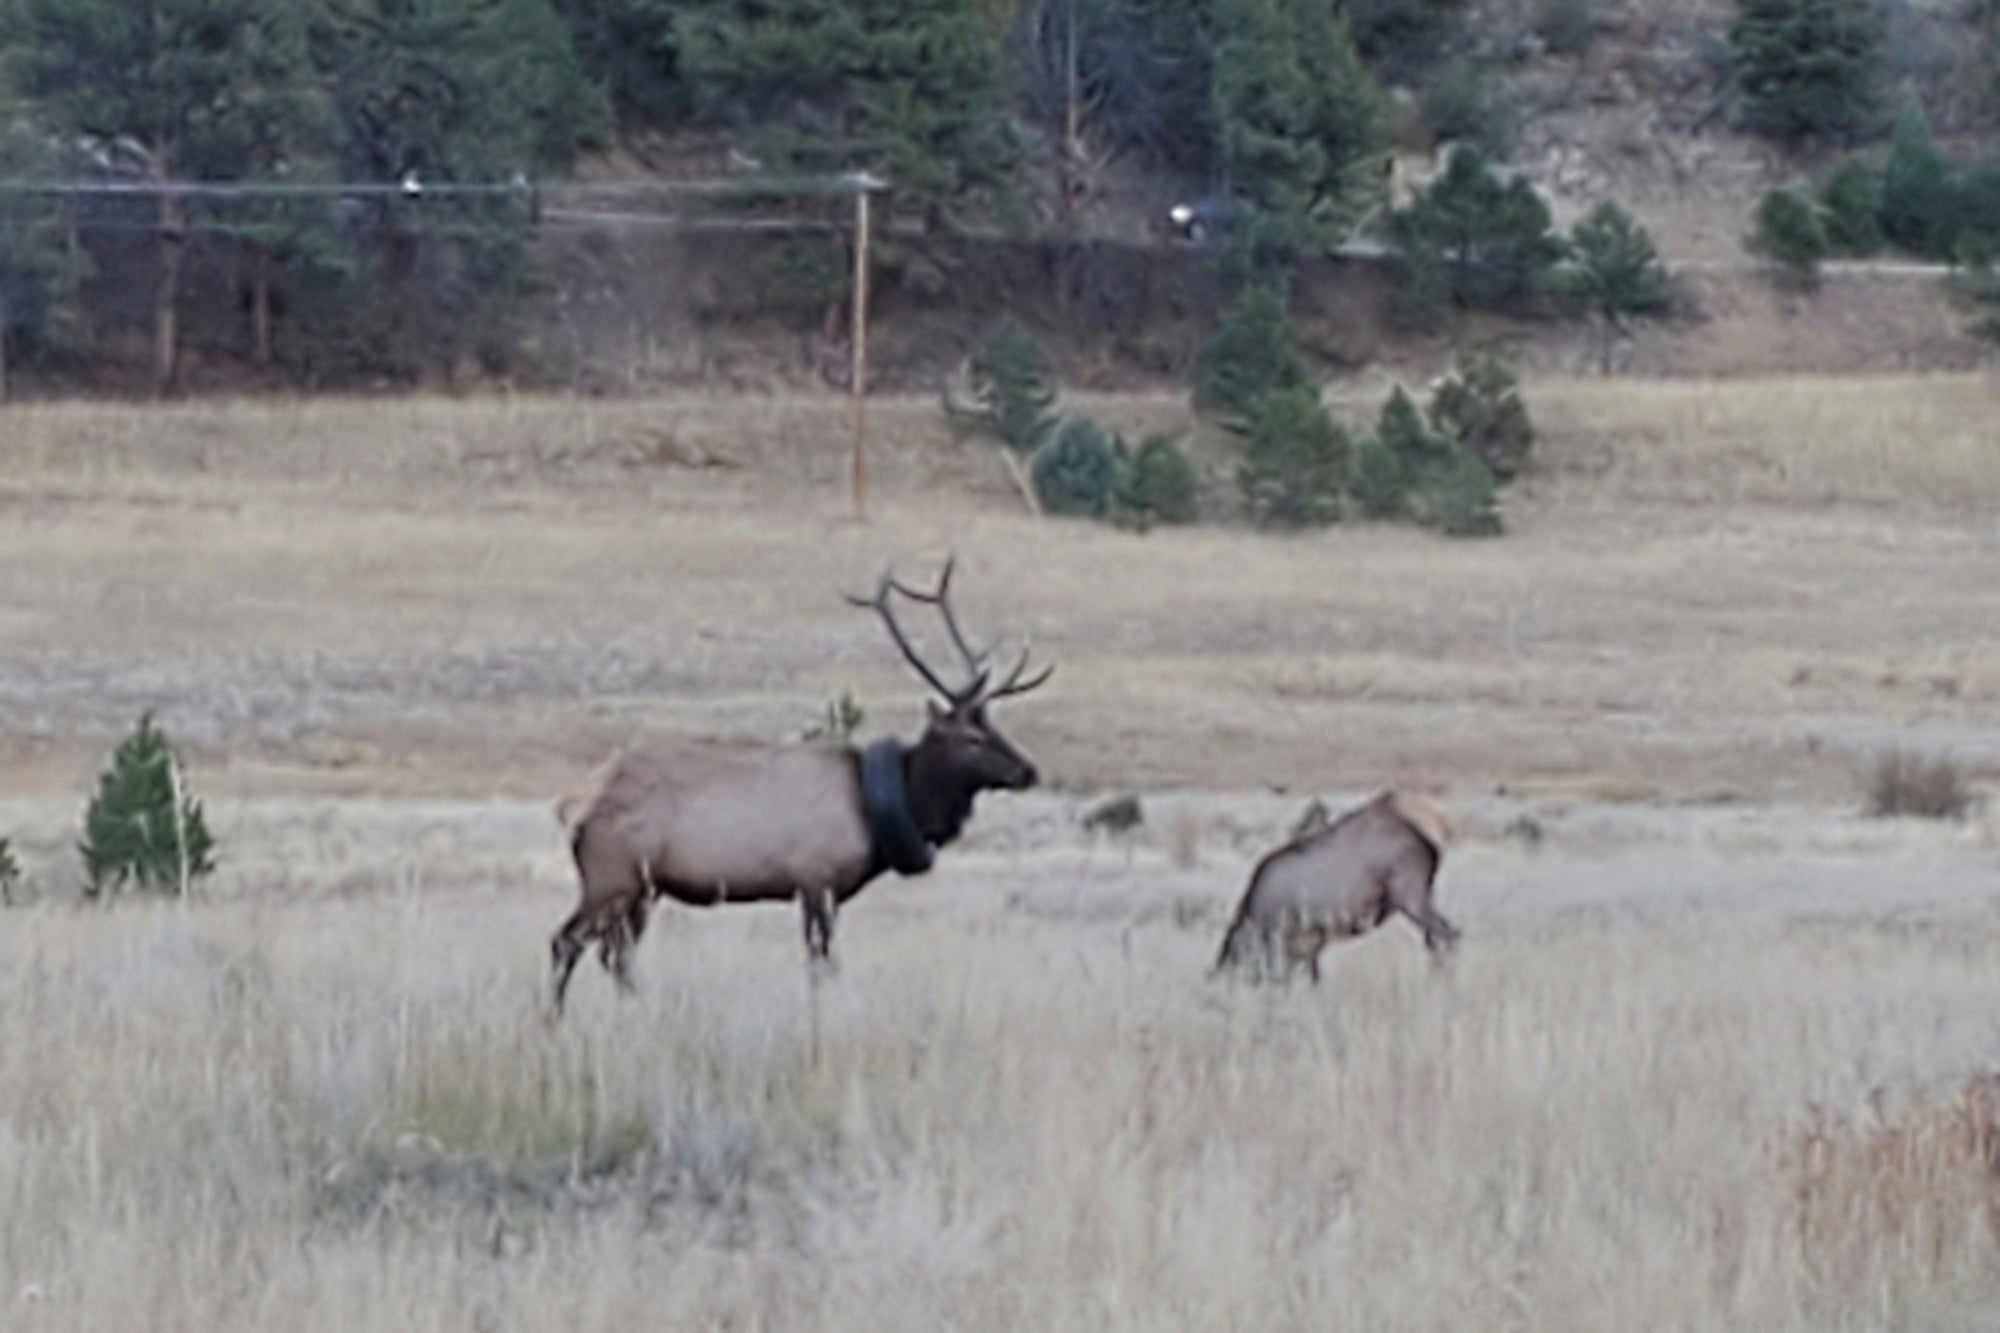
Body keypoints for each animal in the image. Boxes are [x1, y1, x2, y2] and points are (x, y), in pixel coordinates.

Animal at [548, 556, 1048, 1008]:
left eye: (994, 725)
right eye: (971, 738)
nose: (1028, 771)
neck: (874, 813)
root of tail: (571, 806)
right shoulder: (816, 879)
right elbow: (822, 965)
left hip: (641, 890)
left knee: (616, 957)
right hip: (611, 877)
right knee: (565, 942)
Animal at [1208, 784, 1464, 980]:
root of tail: (1427, 841)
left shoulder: (1292, 943)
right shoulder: (1308, 947)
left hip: (1410, 897)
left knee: (1448, 935)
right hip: (1423, 895)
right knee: (1439, 938)